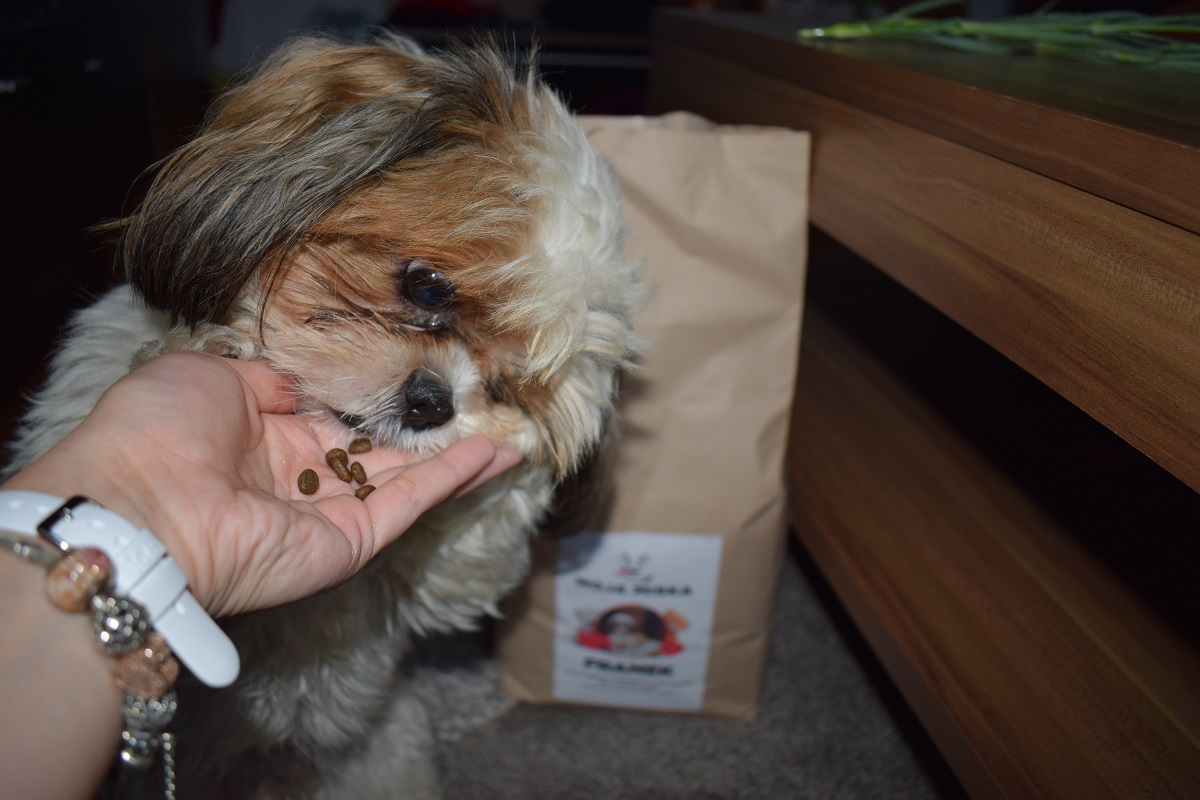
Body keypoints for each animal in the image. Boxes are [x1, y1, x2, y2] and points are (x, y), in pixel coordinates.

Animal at [6, 31, 646, 798]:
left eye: (509, 384)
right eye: (428, 287)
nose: (433, 403)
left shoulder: (444, 586)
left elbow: (472, 557)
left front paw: (519, 459)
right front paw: (199, 345)